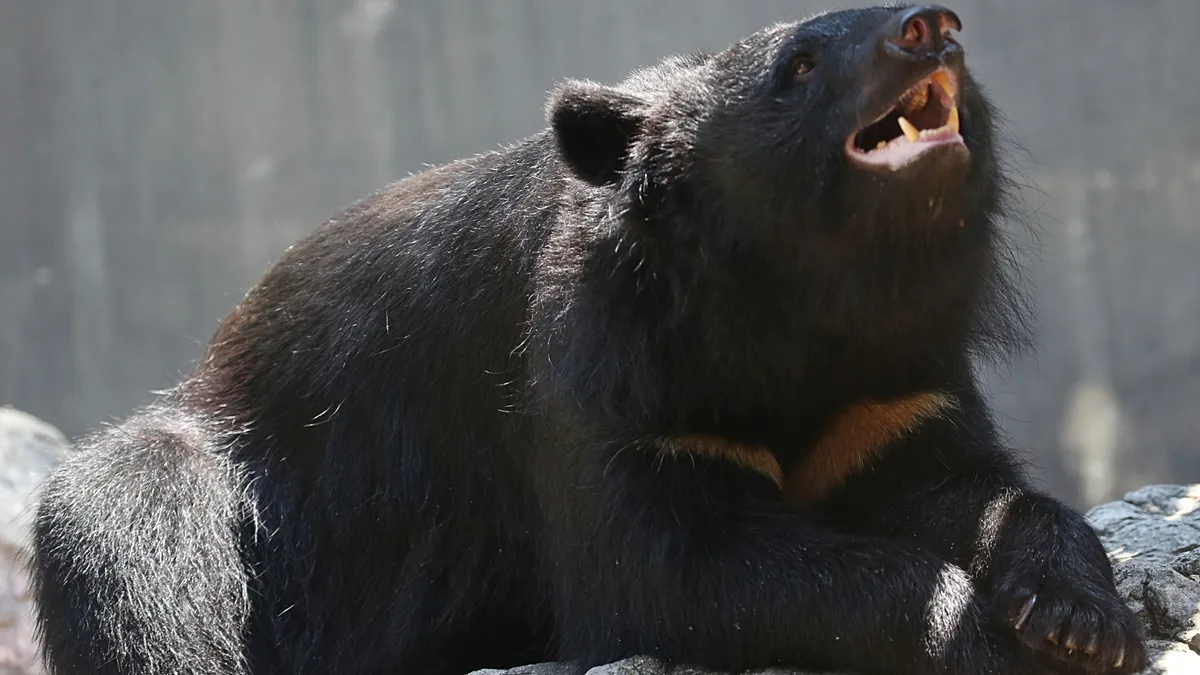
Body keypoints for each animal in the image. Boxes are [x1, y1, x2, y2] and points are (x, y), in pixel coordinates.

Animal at [30, 5, 1147, 675]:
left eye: (939, 34)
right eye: (799, 64)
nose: (932, 26)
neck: (800, 307)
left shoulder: (893, 384)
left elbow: (965, 486)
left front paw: (1081, 620)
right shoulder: (607, 386)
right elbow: (668, 567)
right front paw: (970, 635)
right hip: (220, 476)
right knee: (132, 545)